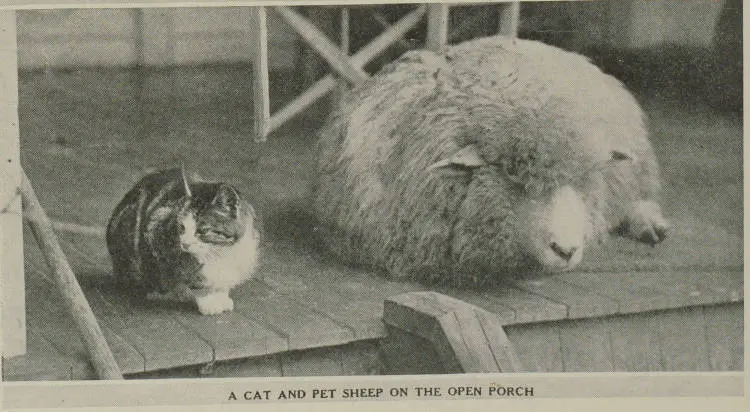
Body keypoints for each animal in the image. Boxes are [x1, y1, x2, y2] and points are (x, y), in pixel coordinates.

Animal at [104, 167, 260, 316]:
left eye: (202, 230)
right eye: (181, 227)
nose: (185, 243)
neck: (220, 251)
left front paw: (221, 296)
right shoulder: (157, 233)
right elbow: (192, 278)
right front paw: (208, 302)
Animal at [312, 36, 668, 286]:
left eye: (582, 181)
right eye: (513, 178)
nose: (566, 251)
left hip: (636, 162)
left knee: (639, 195)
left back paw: (650, 224)